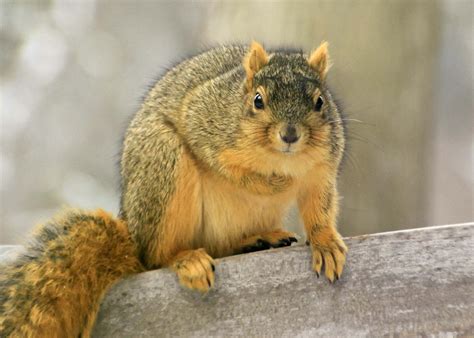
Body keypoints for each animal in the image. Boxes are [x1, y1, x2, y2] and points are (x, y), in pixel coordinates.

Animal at [0, 41, 348, 336]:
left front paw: (325, 244)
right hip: (163, 163)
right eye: (258, 100)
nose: (289, 135)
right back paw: (186, 259)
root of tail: (133, 234)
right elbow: (225, 165)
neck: (278, 159)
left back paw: (257, 238)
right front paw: (271, 183)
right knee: (157, 257)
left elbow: (320, 208)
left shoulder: (323, 168)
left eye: (319, 102)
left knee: (222, 247)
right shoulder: (202, 118)